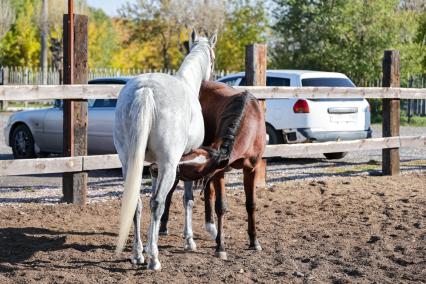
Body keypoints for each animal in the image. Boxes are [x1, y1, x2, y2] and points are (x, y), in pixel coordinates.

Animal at [114, 31, 216, 270]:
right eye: (213, 59)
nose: (213, 76)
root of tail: (146, 90)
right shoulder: (184, 163)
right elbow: (187, 199)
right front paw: (189, 241)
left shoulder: (153, 167)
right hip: (169, 165)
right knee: (157, 203)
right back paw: (154, 259)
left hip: (128, 163)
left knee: (138, 203)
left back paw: (138, 254)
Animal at [160, 80, 266, 260]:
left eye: (196, 170)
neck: (248, 119)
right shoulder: (219, 171)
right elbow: (221, 206)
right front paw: (220, 247)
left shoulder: (250, 169)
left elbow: (251, 204)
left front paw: (254, 241)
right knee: (171, 191)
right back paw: (163, 226)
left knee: (208, 194)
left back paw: (211, 227)